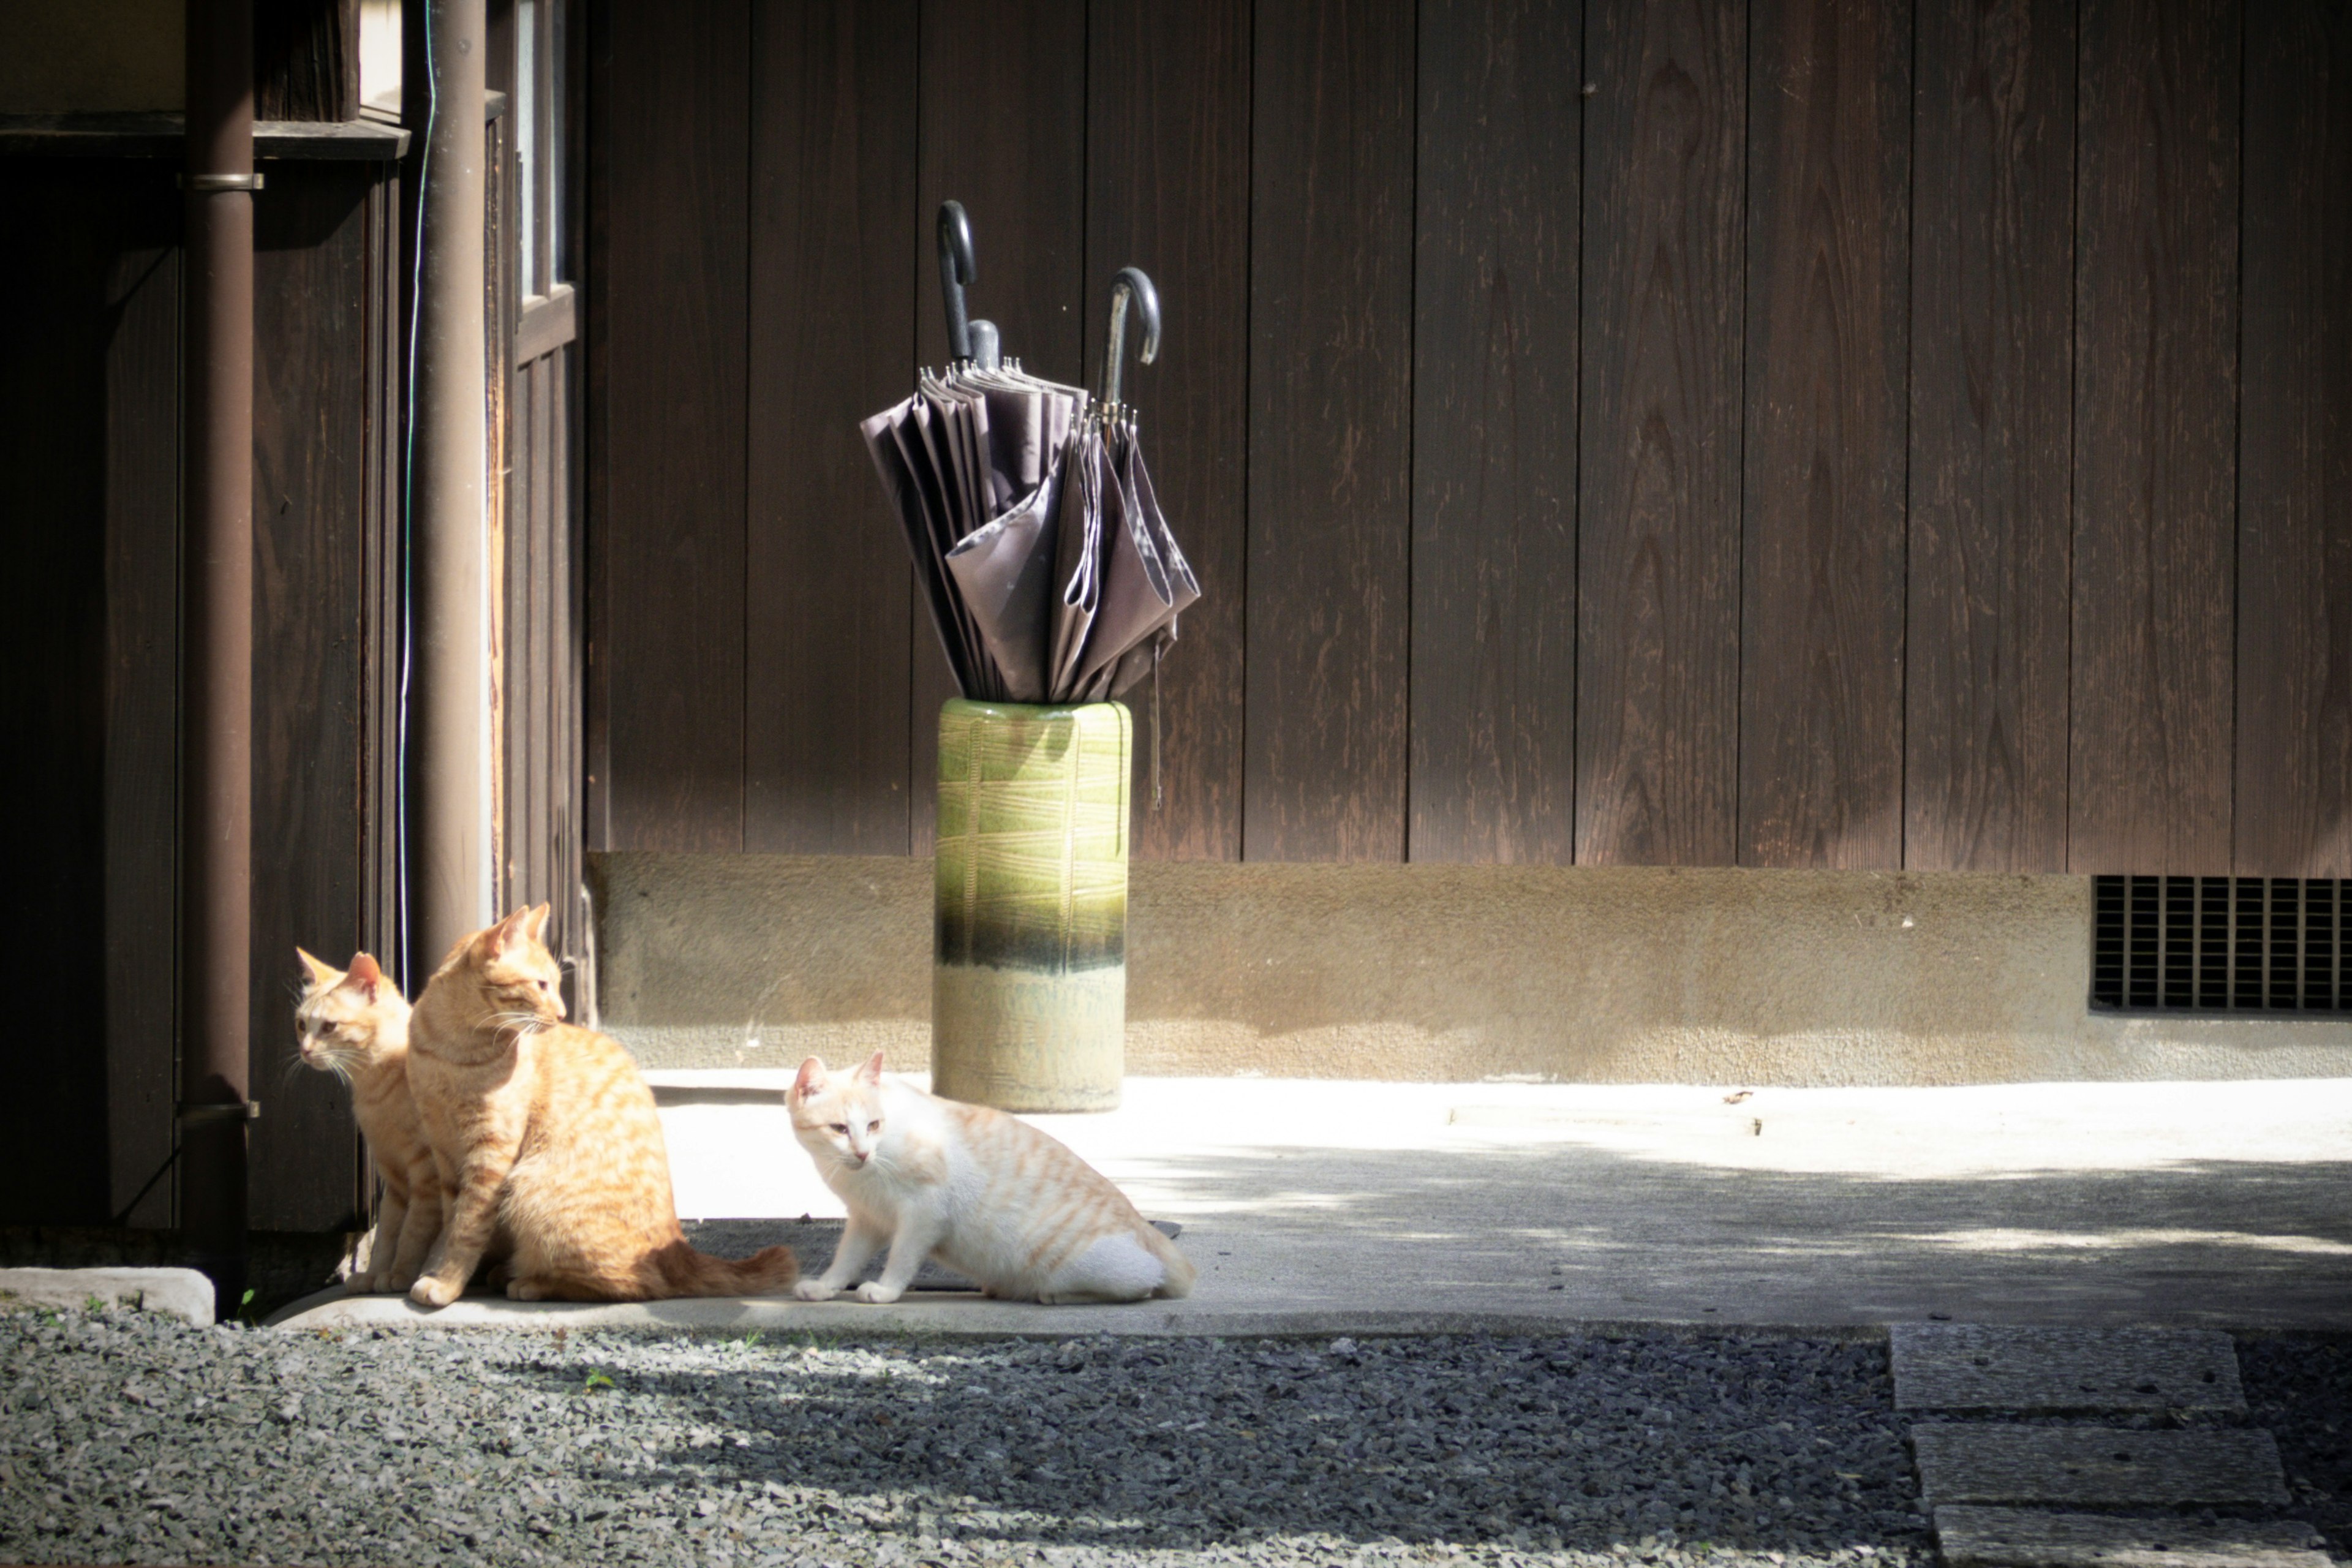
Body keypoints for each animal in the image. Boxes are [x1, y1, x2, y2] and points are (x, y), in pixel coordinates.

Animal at [293, 949, 442, 1297]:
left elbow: (413, 1230)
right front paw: (374, 1276)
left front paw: (400, 1275)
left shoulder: (427, 1175)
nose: (304, 1050)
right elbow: (387, 1235)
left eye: (330, 1026)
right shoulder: (393, 1179)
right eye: (302, 1024)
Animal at [404, 902, 799, 1306]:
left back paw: (529, 1282)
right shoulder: (444, 1151)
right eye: (541, 985)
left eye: (557, 985)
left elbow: (467, 1227)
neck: (453, 1049)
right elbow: (452, 1221)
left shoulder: (491, 1153)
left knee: (635, 1286)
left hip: (531, 1192)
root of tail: (682, 1253)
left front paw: (447, 1283)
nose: (562, 1014)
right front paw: (443, 1271)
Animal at [785, 1062, 1194, 1306]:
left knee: (1142, 1286)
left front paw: (885, 1290)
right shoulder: (867, 1219)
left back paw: (1053, 1295)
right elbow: (846, 1260)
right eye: (840, 1129)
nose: (862, 1153)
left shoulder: (924, 1211)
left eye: (873, 1125)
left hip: (1085, 1264)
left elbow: (901, 1258)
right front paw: (824, 1287)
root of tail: (1143, 1224)